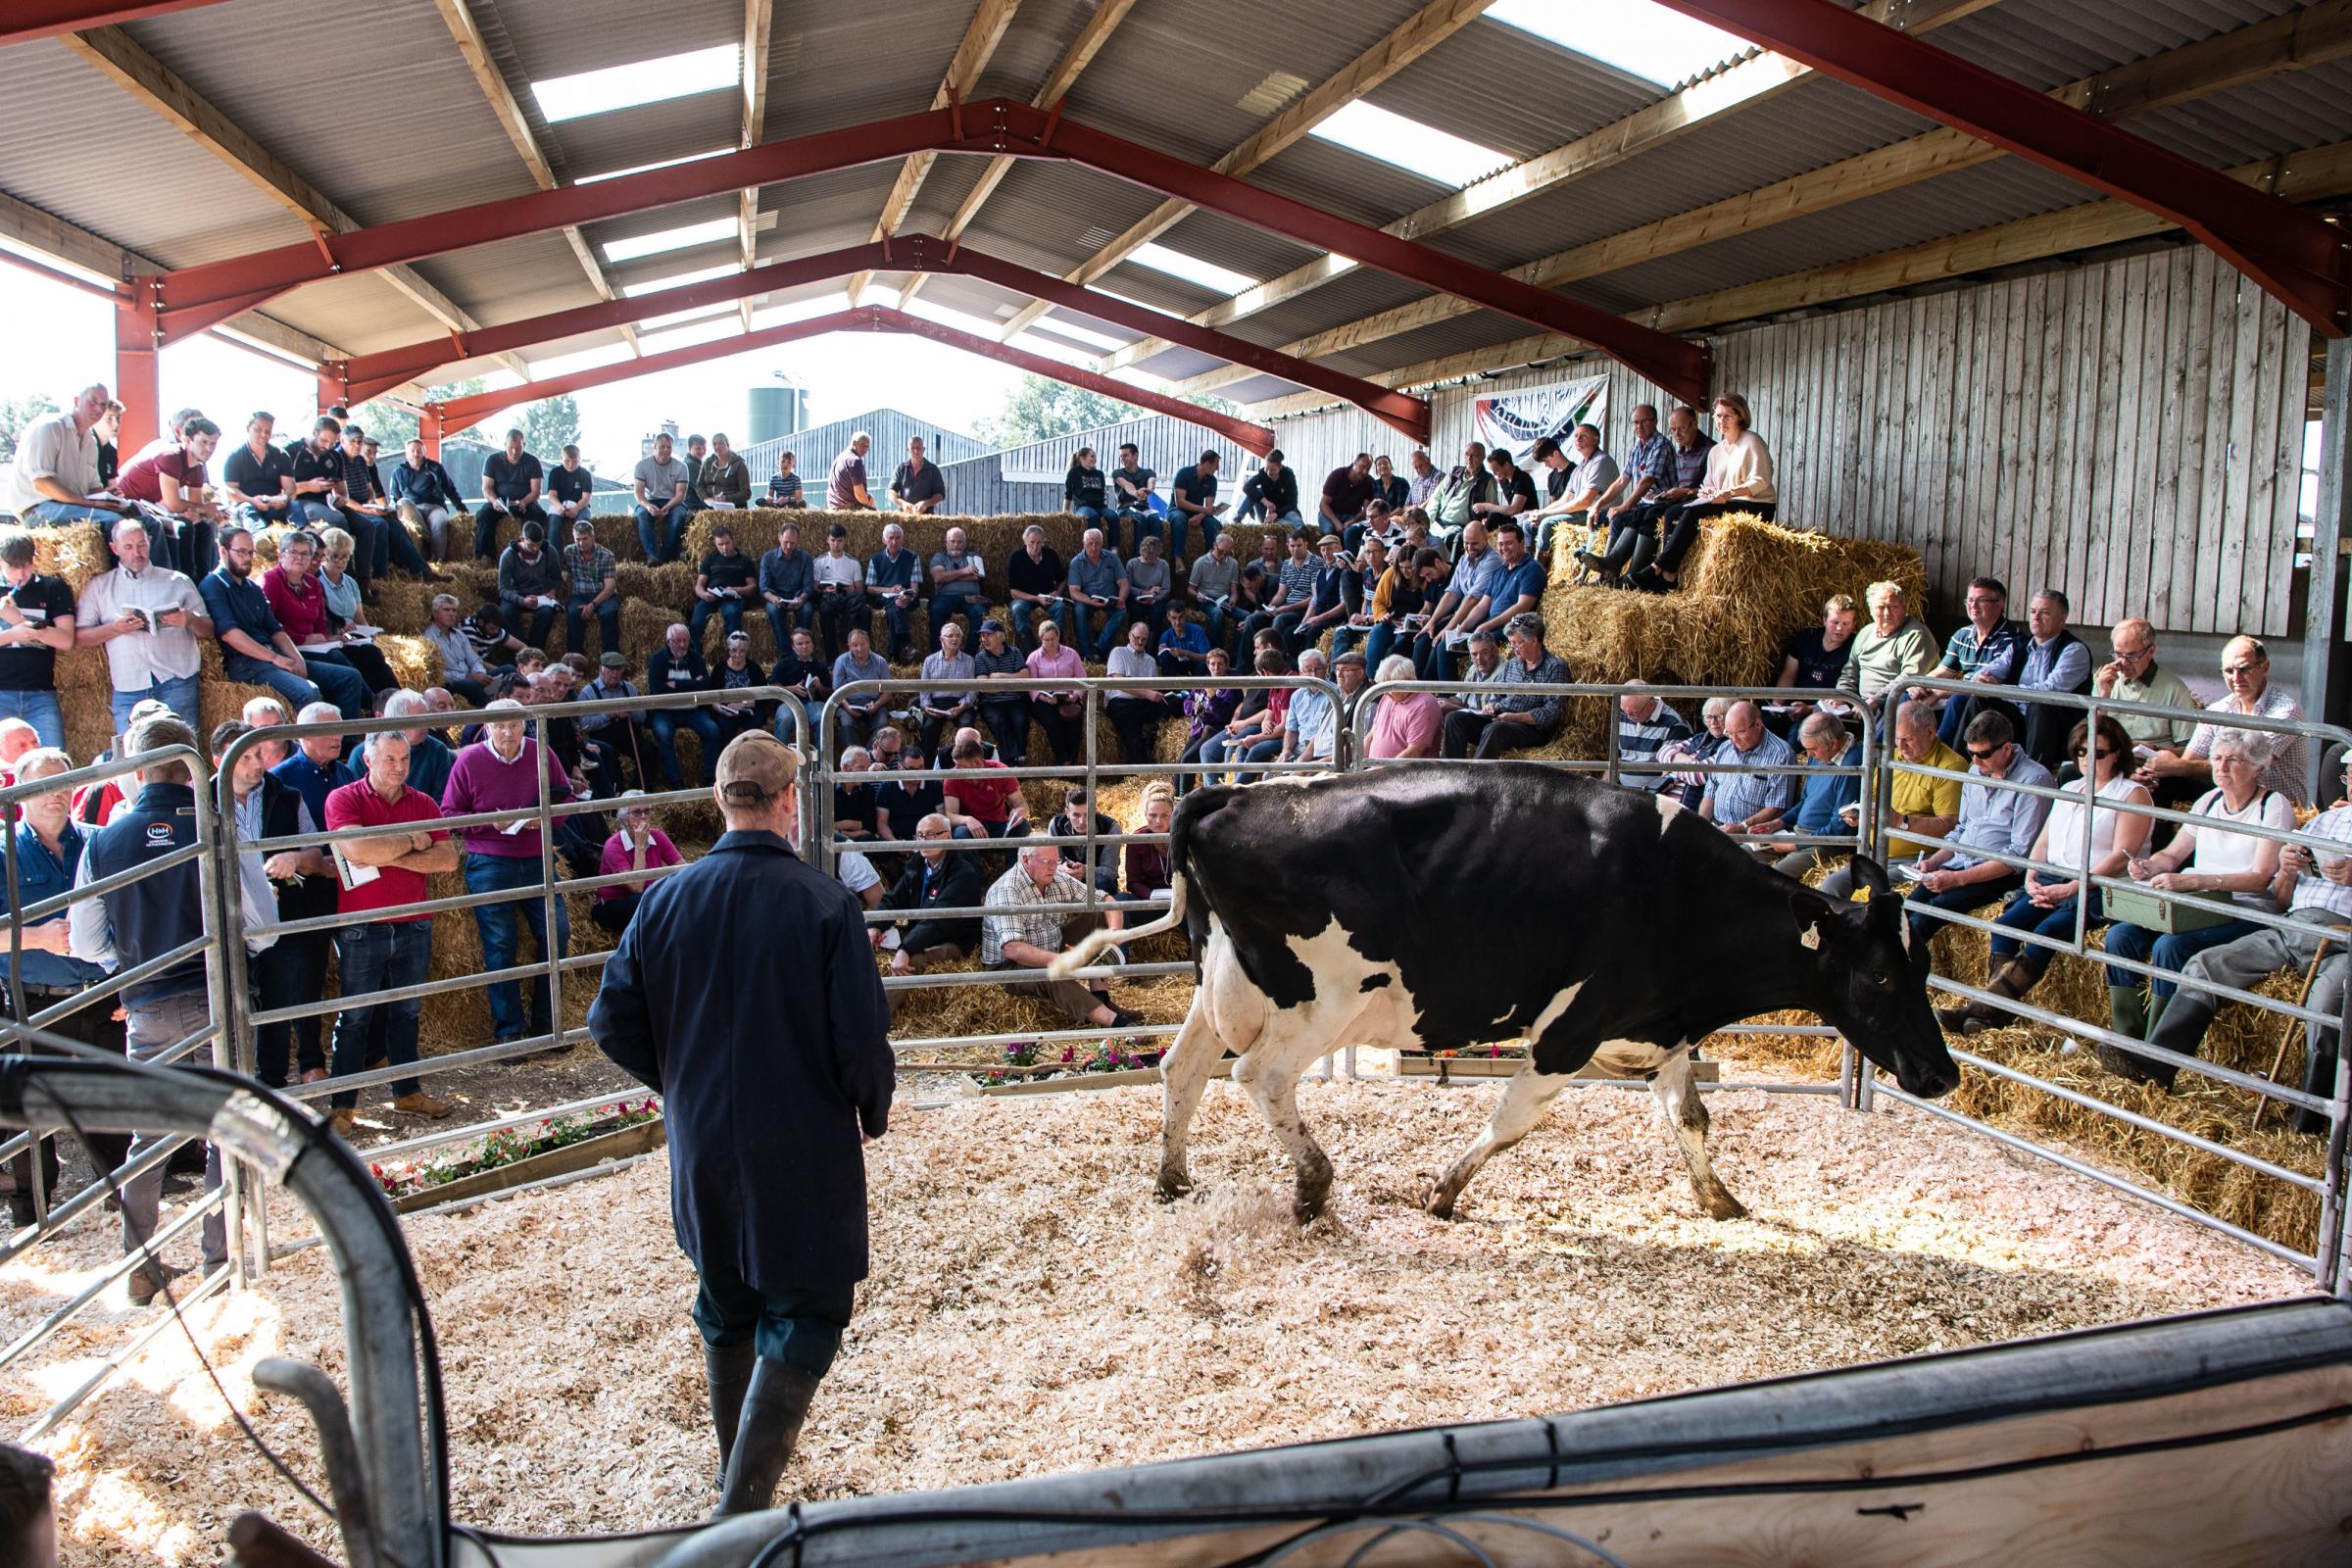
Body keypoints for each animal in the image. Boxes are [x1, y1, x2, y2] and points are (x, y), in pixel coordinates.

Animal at [1058, 766, 1956, 1222]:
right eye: (1881, 976)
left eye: (1922, 967)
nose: (1942, 1075)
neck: (1678, 893)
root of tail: (1231, 794)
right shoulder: (1572, 1028)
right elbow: (1513, 1122)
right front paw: (1443, 1193)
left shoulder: (1661, 1027)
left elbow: (1690, 1117)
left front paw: (1720, 1199)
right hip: (1321, 999)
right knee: (1261, 1077)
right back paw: (1313, 1185)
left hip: (1225, 982)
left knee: (1182, 1070)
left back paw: (1174, 1182)